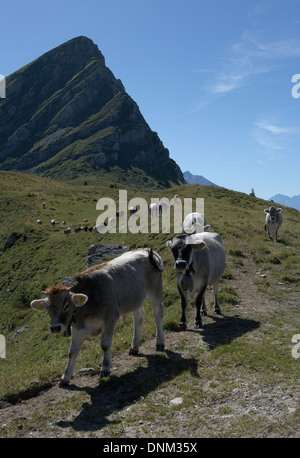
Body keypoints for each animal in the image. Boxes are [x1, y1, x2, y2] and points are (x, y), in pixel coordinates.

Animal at [30, 247, 165, 386]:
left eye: (66, 306)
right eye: (47, 308)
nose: (55, 328)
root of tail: (143, 250)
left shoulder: (110, 319)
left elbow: (104, 345)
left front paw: (105, 369)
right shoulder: (76, 327)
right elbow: (72, 352)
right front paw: (65, 377)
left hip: (155, 292)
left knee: (157, 314)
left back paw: (160, 343)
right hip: (134, 299)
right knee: (138, 317)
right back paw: (134, 347)